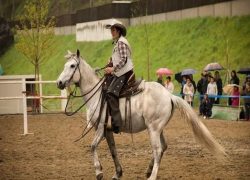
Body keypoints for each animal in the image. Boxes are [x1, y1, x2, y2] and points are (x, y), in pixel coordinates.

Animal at [56, 50, 227, 180]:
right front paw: (118, 173)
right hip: (158, 129)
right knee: (163, 147)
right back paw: (148, 170)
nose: (59, 83)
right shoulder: (108, 130)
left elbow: (92, 146)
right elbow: (113, 151)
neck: (97, 95)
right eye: (65, 65)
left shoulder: (100, 128)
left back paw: (152, 176)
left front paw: (99, 172)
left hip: (153, 129)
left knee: (157, 149)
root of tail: (169, 96)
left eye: (72, 65)